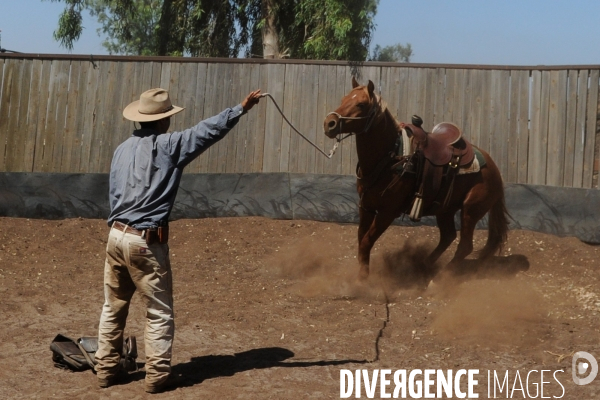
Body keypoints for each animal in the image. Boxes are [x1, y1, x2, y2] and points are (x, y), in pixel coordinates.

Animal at [326, 77, 508, 282]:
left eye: (361, 104)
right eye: (343, 99)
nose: (329, 123)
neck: (391, 156)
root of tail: (495, 170)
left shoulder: (387, 212)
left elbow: (366, 242)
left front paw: (362, 281)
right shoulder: (366, 206)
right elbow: (361, 240)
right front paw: (361, 274)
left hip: (471, 209)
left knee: (465, 246)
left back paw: (438, 280)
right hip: (445, 209)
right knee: (448, 236)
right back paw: (422, 265)